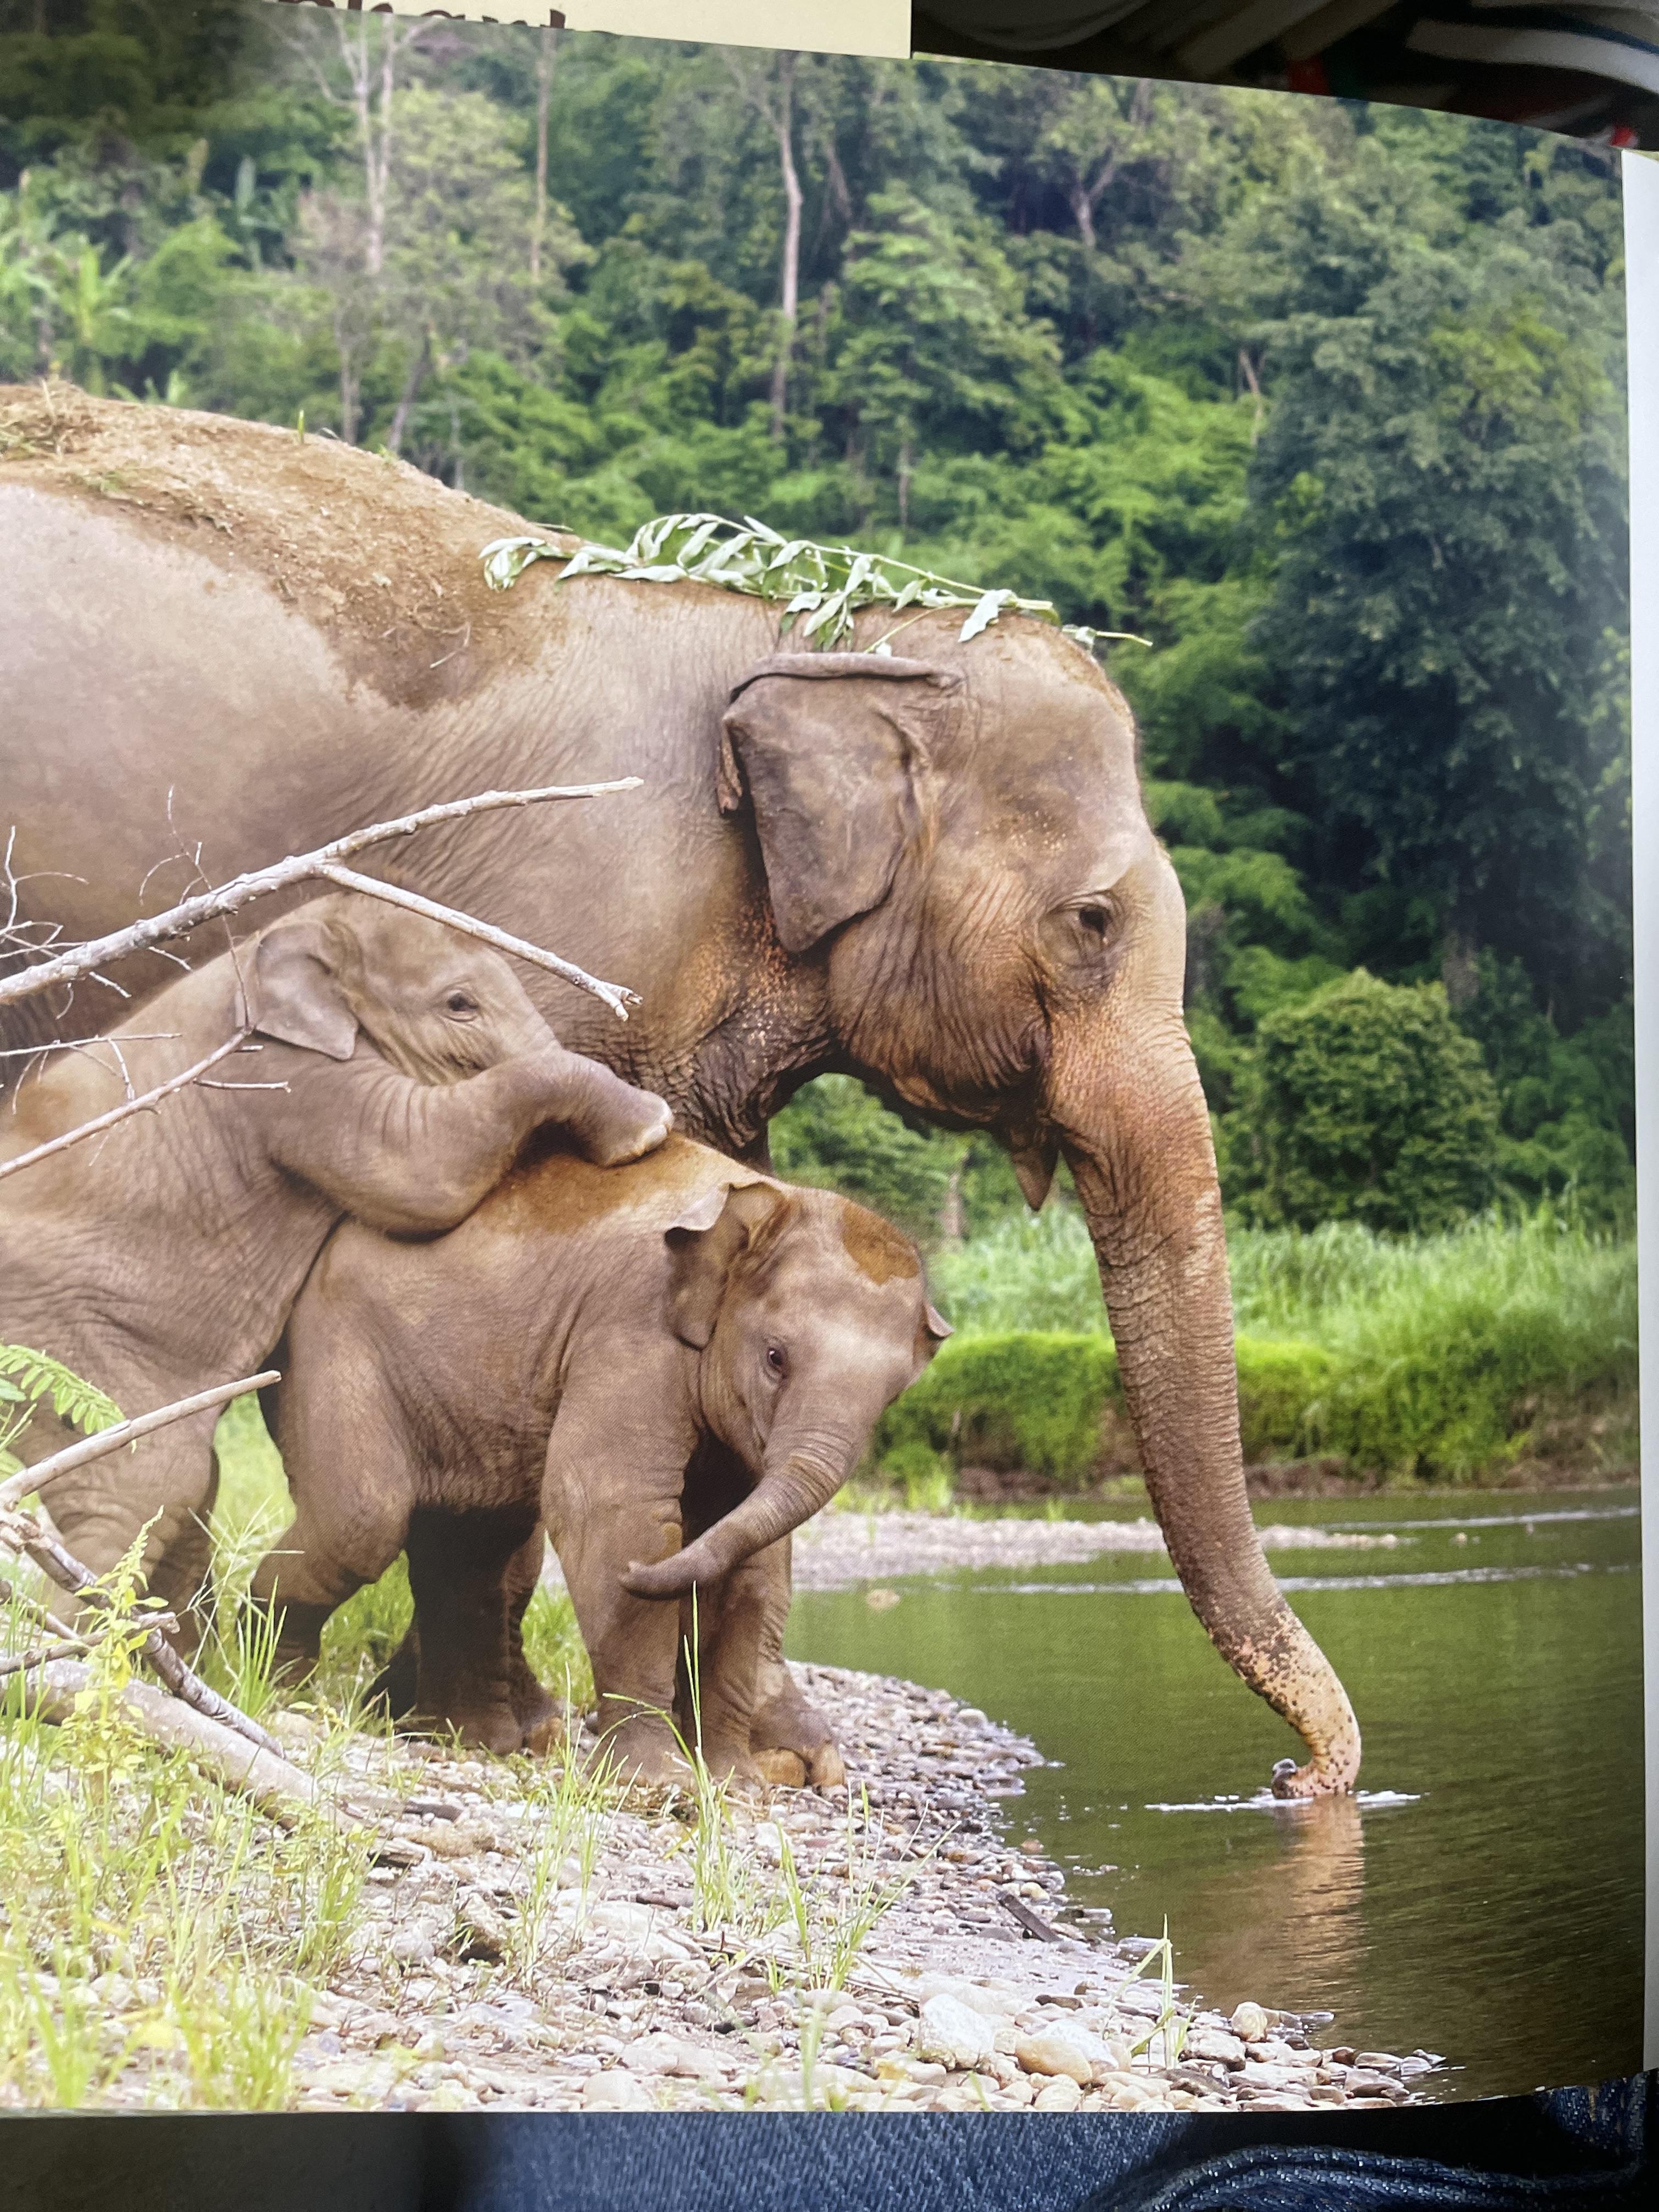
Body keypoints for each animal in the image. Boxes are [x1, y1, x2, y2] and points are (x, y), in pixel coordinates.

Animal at [0, 890, 672, 1628]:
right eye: (459, 1004)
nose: (658, 1134)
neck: (301, 929)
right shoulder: (292, 1077)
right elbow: (419, 1167)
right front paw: (649, 1128)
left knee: (179, 1492)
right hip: (64, 1348)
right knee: (147, 1486)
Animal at [251, 1132, 951, 1778]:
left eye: (892, 1397)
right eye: (776, 1358)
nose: (640, 1575)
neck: (764, 1202)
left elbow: (745, 1559)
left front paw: (735, 1787)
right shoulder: (630, 1328)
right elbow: (611, 1509)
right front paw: (664, 1786)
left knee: (470, 1540)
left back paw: (469, 1741)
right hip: (331, 1350)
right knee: (361, 1522)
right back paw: (273, 1686)